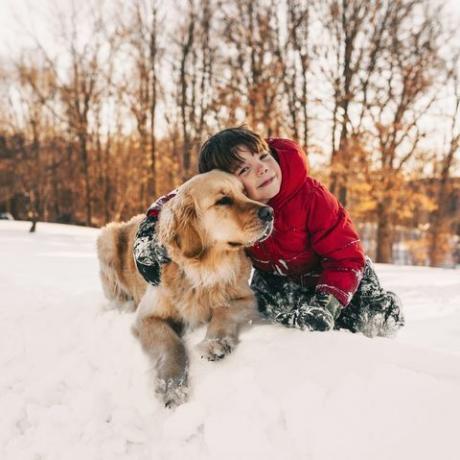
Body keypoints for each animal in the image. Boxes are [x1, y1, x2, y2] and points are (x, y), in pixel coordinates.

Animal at [95, 171, 272, 408]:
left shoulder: (247, 298)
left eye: (245, 193)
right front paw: (172, 385)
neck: (204, 272)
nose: (270, 212)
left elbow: (224, 310)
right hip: (106, 239)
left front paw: (214, 342)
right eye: (223, 200)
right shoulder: (148, 317)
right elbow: (171, 344)